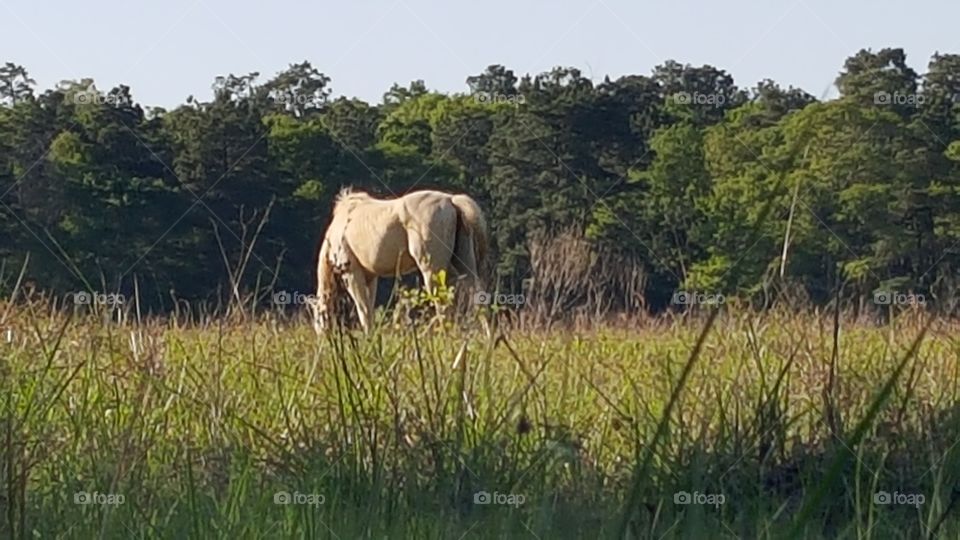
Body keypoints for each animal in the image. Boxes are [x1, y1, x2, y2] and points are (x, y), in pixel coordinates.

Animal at [310, 188, 488, 332]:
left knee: (442, 304)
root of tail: (451, 200)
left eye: (318, 320)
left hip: (431, 270)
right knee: (478, 297)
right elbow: (369, 309)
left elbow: (363, 311)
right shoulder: (370, 278)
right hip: (465, 264)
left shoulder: (352, 273)